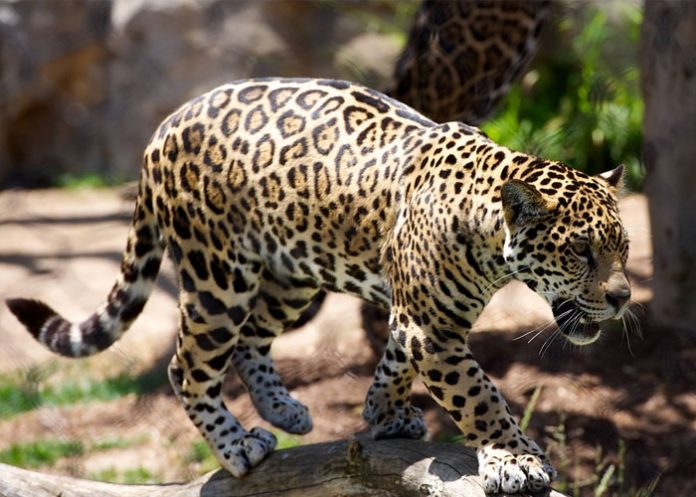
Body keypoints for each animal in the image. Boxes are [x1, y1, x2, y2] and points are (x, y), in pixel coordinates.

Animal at [8, 77, 630, 494]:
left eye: (623, 249)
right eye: (581, 251)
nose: (623, 297)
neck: (488, 229)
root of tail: (163, 127)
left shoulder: (414, 317)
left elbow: (394, 361)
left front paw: (383, 412)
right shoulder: (431, 327)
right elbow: (479, 396)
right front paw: (514, 457)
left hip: (292, 275)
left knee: (251, 340)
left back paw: (285, 412)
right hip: (218, 277)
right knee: (188, 365)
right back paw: (238, 444)